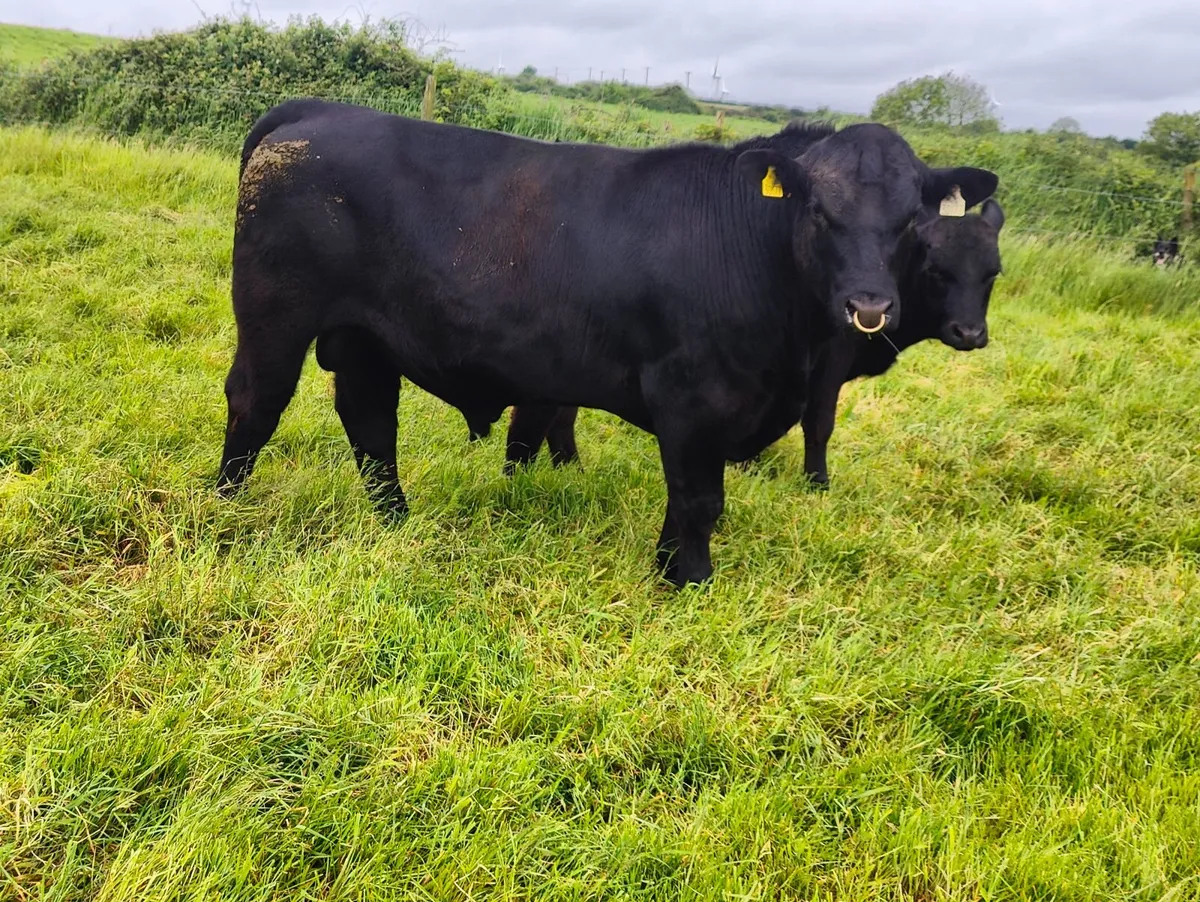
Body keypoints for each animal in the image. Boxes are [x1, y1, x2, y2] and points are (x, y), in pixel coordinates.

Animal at [216, 99, 998, 586]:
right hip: (276, 316)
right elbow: (699, 499)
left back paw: (397, 522)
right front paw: (690, 582)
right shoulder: (691, 396)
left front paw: (670, 568)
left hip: (365, 337)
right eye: (818, 211)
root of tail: (319, 109)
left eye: (910, 220)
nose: (869, 306)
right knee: (255, 404)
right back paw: (225, 515)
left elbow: (687, 498)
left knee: (372, 423)